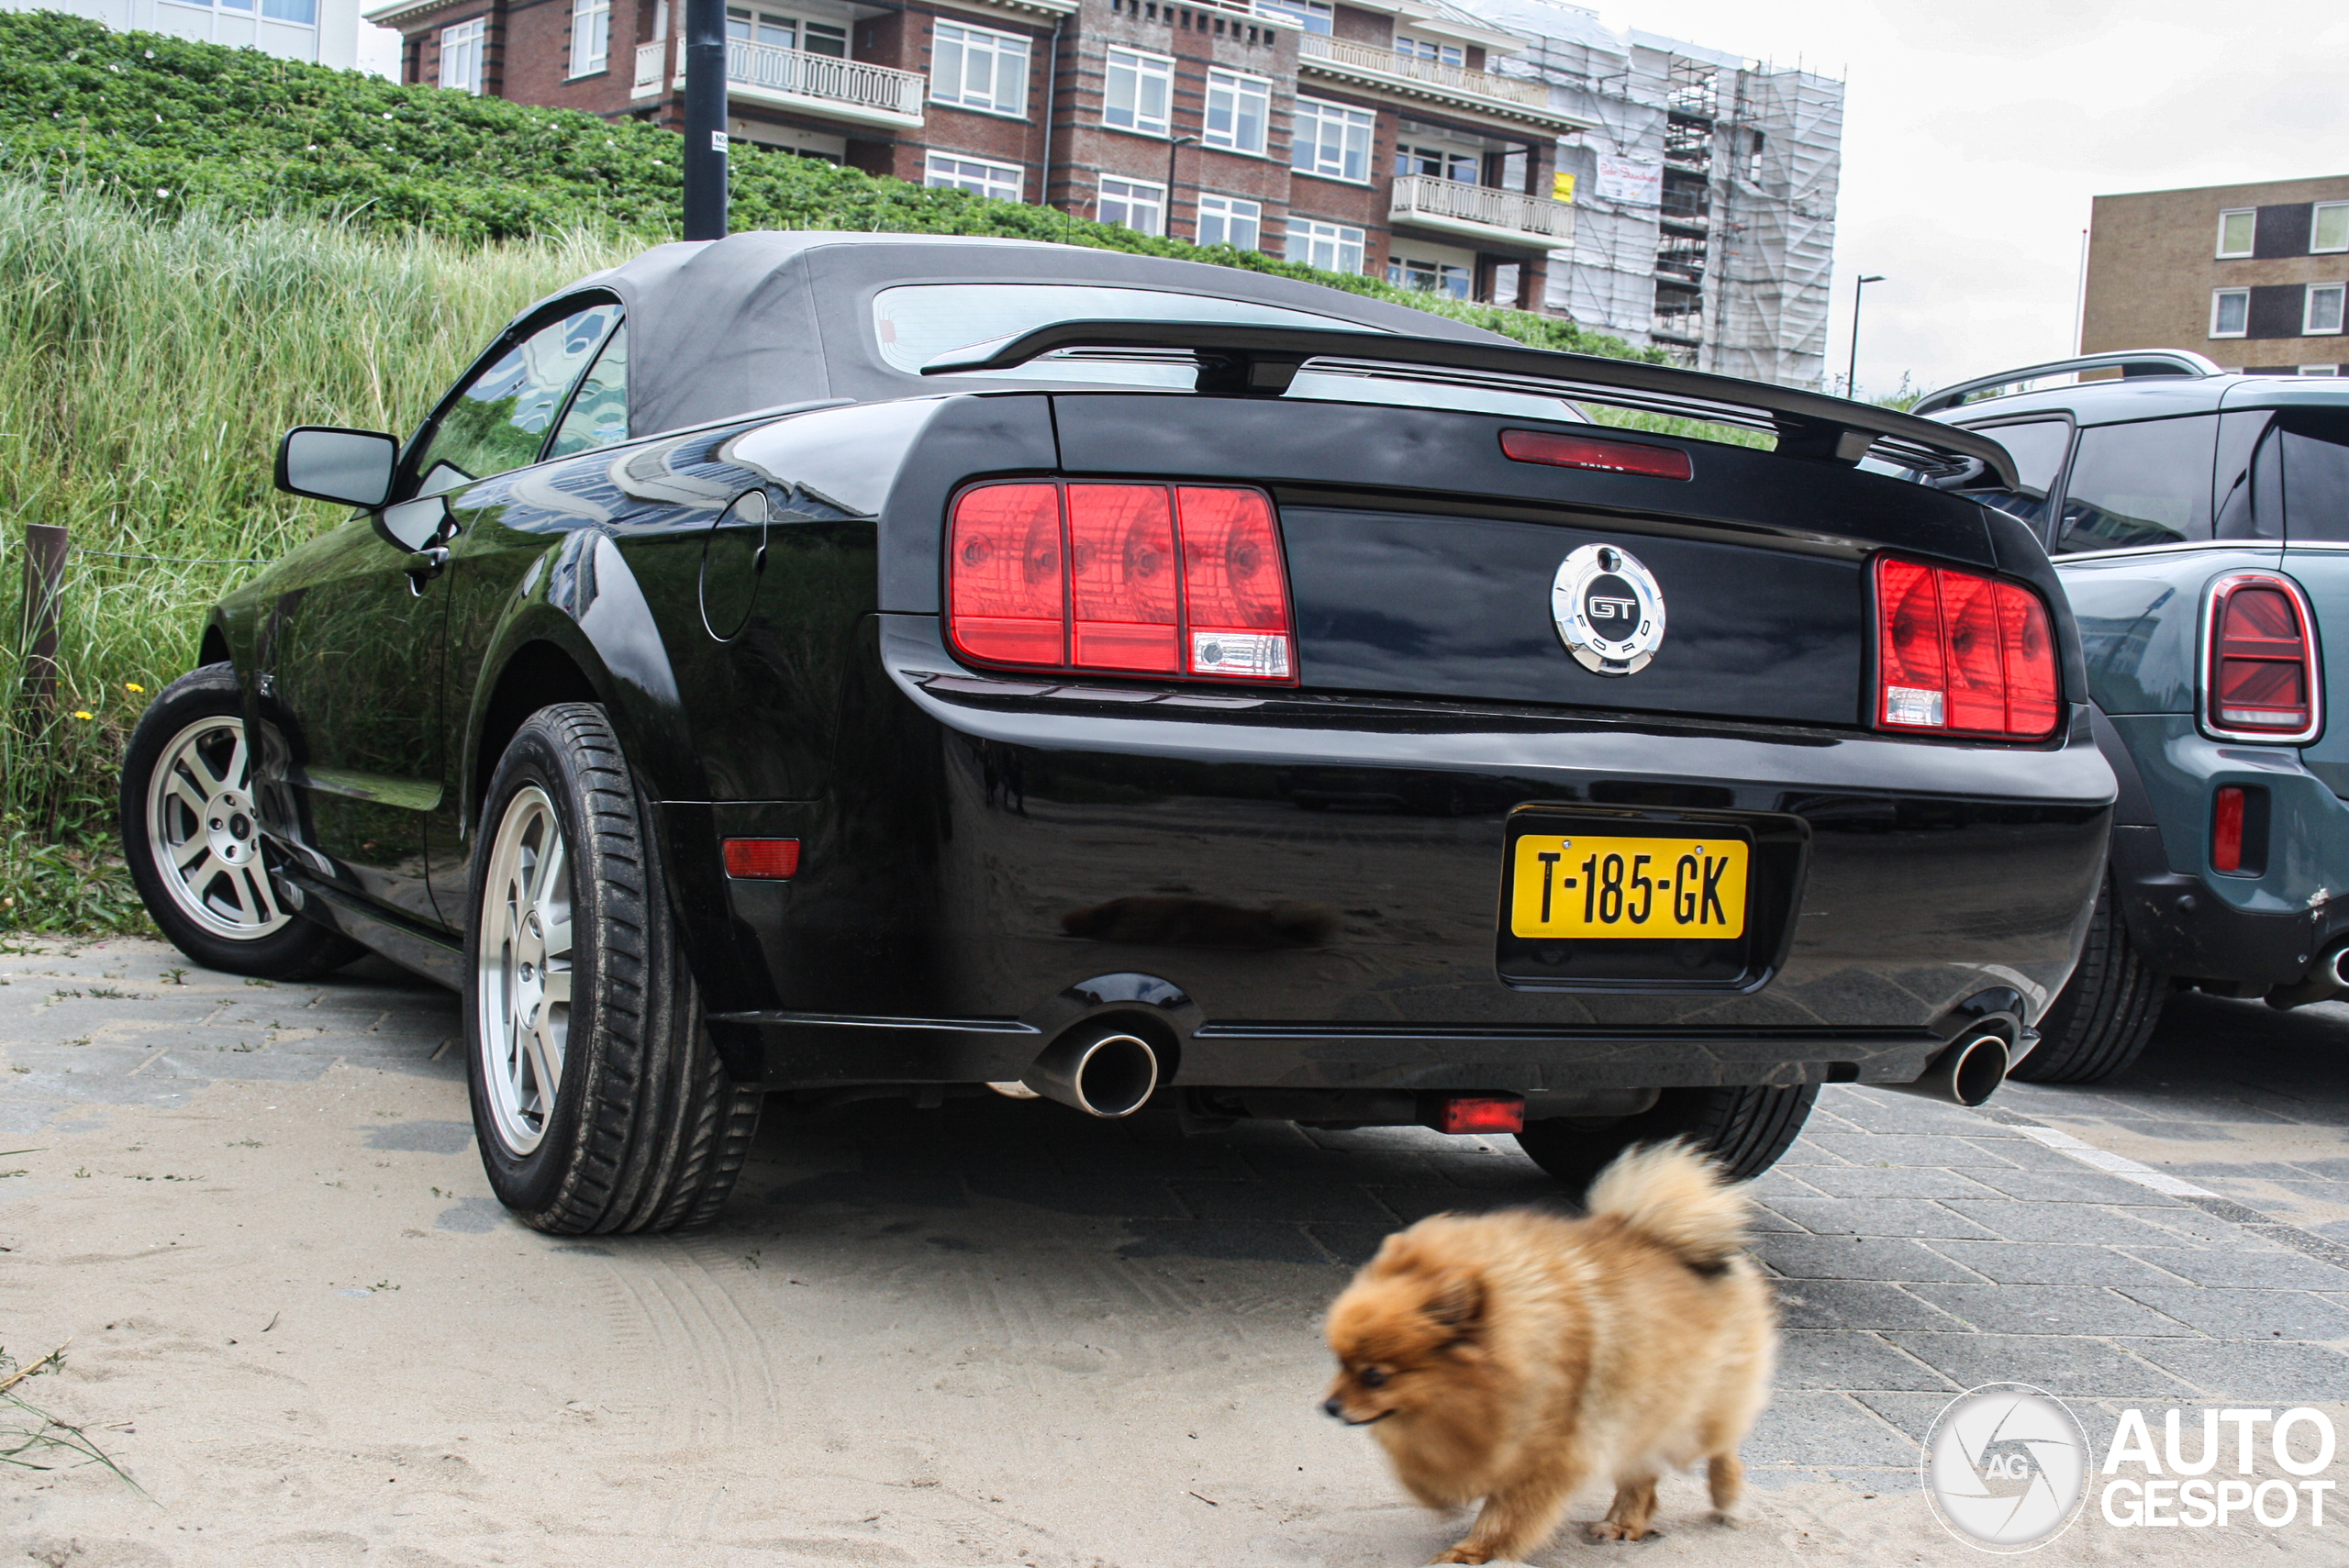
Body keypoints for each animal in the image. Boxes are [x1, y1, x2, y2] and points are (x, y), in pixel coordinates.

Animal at [1334, 1140, 1766, 1568]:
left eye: (1375, 1375)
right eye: (1340, 1363)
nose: (1330, 1406)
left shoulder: (1547, 1449)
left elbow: (1506, 1511)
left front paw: (1471, 1551)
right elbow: (1429, 1471)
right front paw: (1441, 1495)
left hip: (1694, 1410)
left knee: (1719, 1447)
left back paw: (1727, 1498)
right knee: (1642, 1474)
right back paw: (1623, 1523)